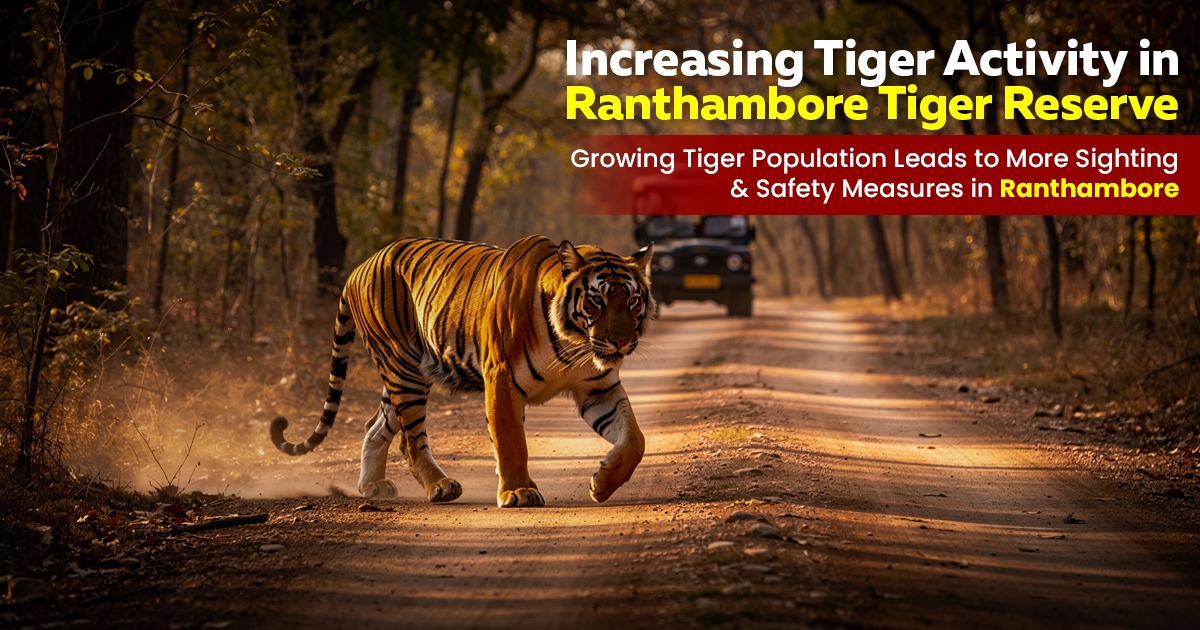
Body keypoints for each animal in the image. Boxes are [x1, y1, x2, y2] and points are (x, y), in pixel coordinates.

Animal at [270, 235, 655, 507]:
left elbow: (635, 439)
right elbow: (511, 440)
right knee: (411, 441)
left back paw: (373, 486)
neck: (574, 345)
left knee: (374, 426)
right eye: (596, 300)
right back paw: (440, 486)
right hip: (403, 370)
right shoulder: (501, 378)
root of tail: (358, 268)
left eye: (632, 300)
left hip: (407, 374)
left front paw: (602, 483)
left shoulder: (599, 388)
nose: (621, 342)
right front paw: (518, 492)